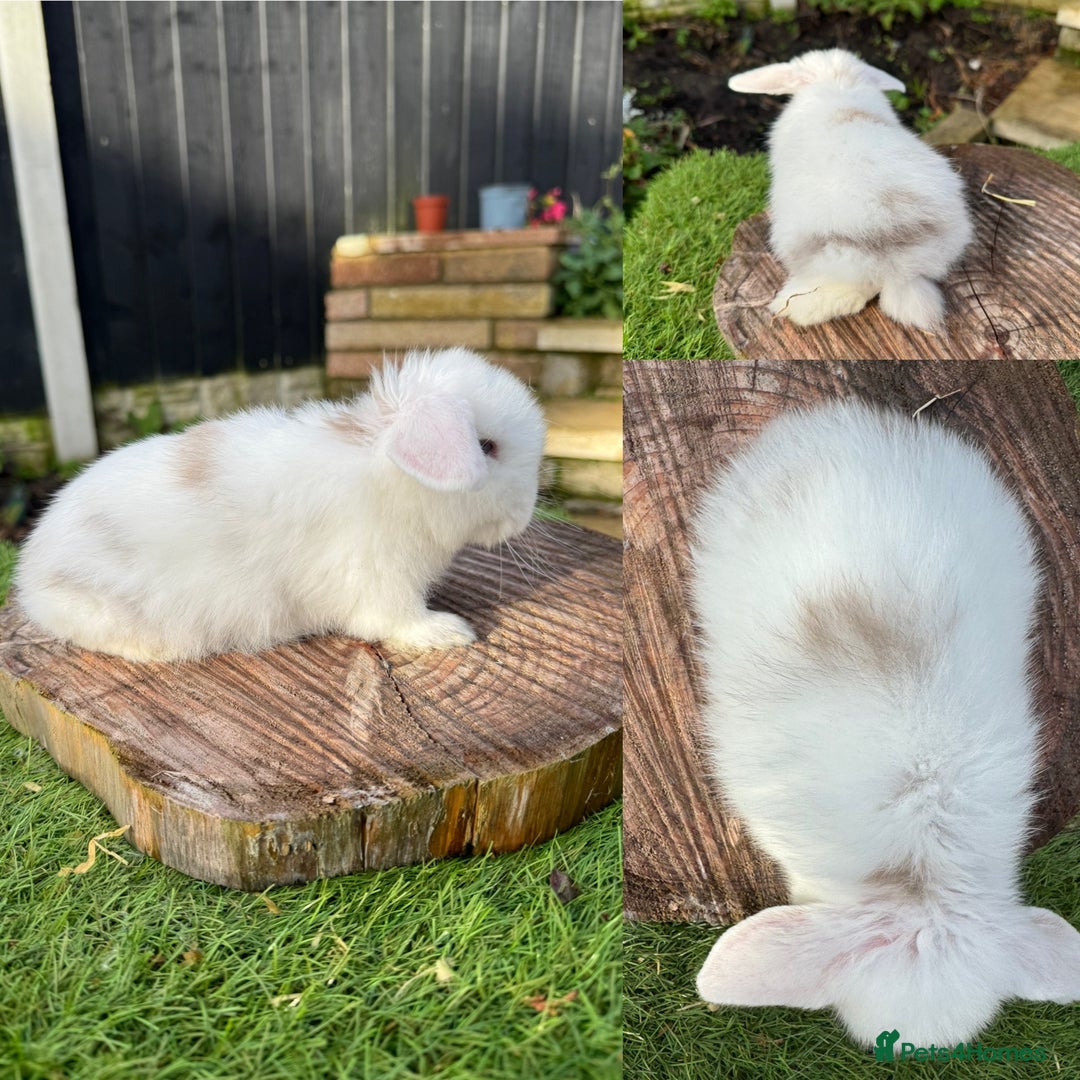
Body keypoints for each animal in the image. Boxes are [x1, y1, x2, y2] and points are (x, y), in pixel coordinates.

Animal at [14, 347, 546, 662]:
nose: (526, 514)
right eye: (487, 447)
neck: (392, 477)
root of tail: (29, 574)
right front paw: (448, 632)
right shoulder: (378, 578)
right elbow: (396, 619)